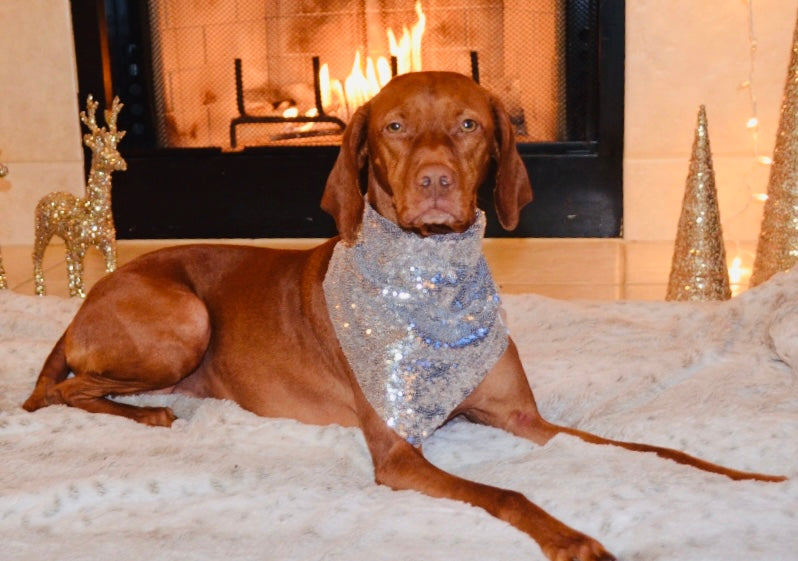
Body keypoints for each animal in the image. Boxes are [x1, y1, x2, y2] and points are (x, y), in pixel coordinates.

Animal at [21, 72, 784, 560]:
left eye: (469, 124)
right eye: (394, 127)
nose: (435, 181)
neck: (431, 283)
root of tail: (88, 297)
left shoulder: (522, 418)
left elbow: (653, 450)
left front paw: (746, 476)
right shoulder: (396, 453)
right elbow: (509, 493)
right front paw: (573, 538)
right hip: (184, 319)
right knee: (63, 390)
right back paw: (151, 412)